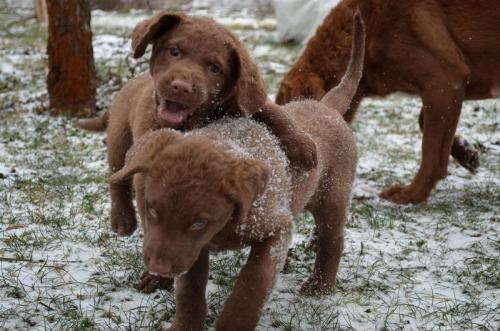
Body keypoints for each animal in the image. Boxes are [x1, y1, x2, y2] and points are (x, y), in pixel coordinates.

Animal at [110, 11, 364, 330]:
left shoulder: (274, 230)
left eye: (199, 222)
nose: (159, 266)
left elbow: (251, 285)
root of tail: (326, 107)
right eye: (152, 211)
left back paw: (320, 286)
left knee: (333, 239)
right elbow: (190, 290)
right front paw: (184, 322)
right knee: (116, 173)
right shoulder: (193, 249)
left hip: (333, 194)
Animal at [276, 0, 498, 205]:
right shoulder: (447, 90)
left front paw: (411, 196)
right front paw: (466, 152)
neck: (370, 26)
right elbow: (424, 122)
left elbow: (431, 154)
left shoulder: (445, 81)